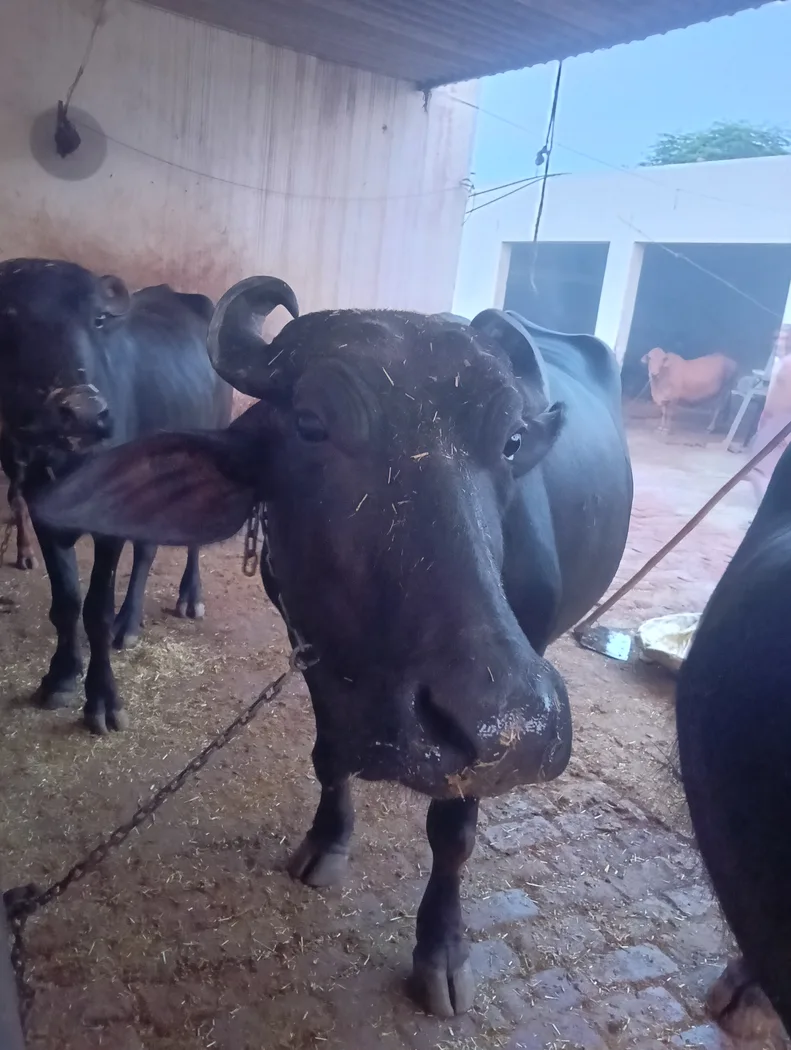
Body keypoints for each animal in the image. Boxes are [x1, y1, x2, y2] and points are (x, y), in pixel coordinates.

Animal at [0, 258, 232, 735]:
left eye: (97, 319)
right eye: (8, 319)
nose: (85, 413)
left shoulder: (107, 526)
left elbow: (96, 610)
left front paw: (103, 700)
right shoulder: (42, 513)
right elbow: (67, 602)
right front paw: (61, 677)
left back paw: (189, 596)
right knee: (146, 550)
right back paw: (131, 621)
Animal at [34, 278, 633, 1015]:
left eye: (512, 441)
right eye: (312, 423)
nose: (522, 724)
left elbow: (453, 832)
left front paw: (440, 951)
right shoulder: (309, 639)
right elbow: (328, 756)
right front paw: (326, 841)